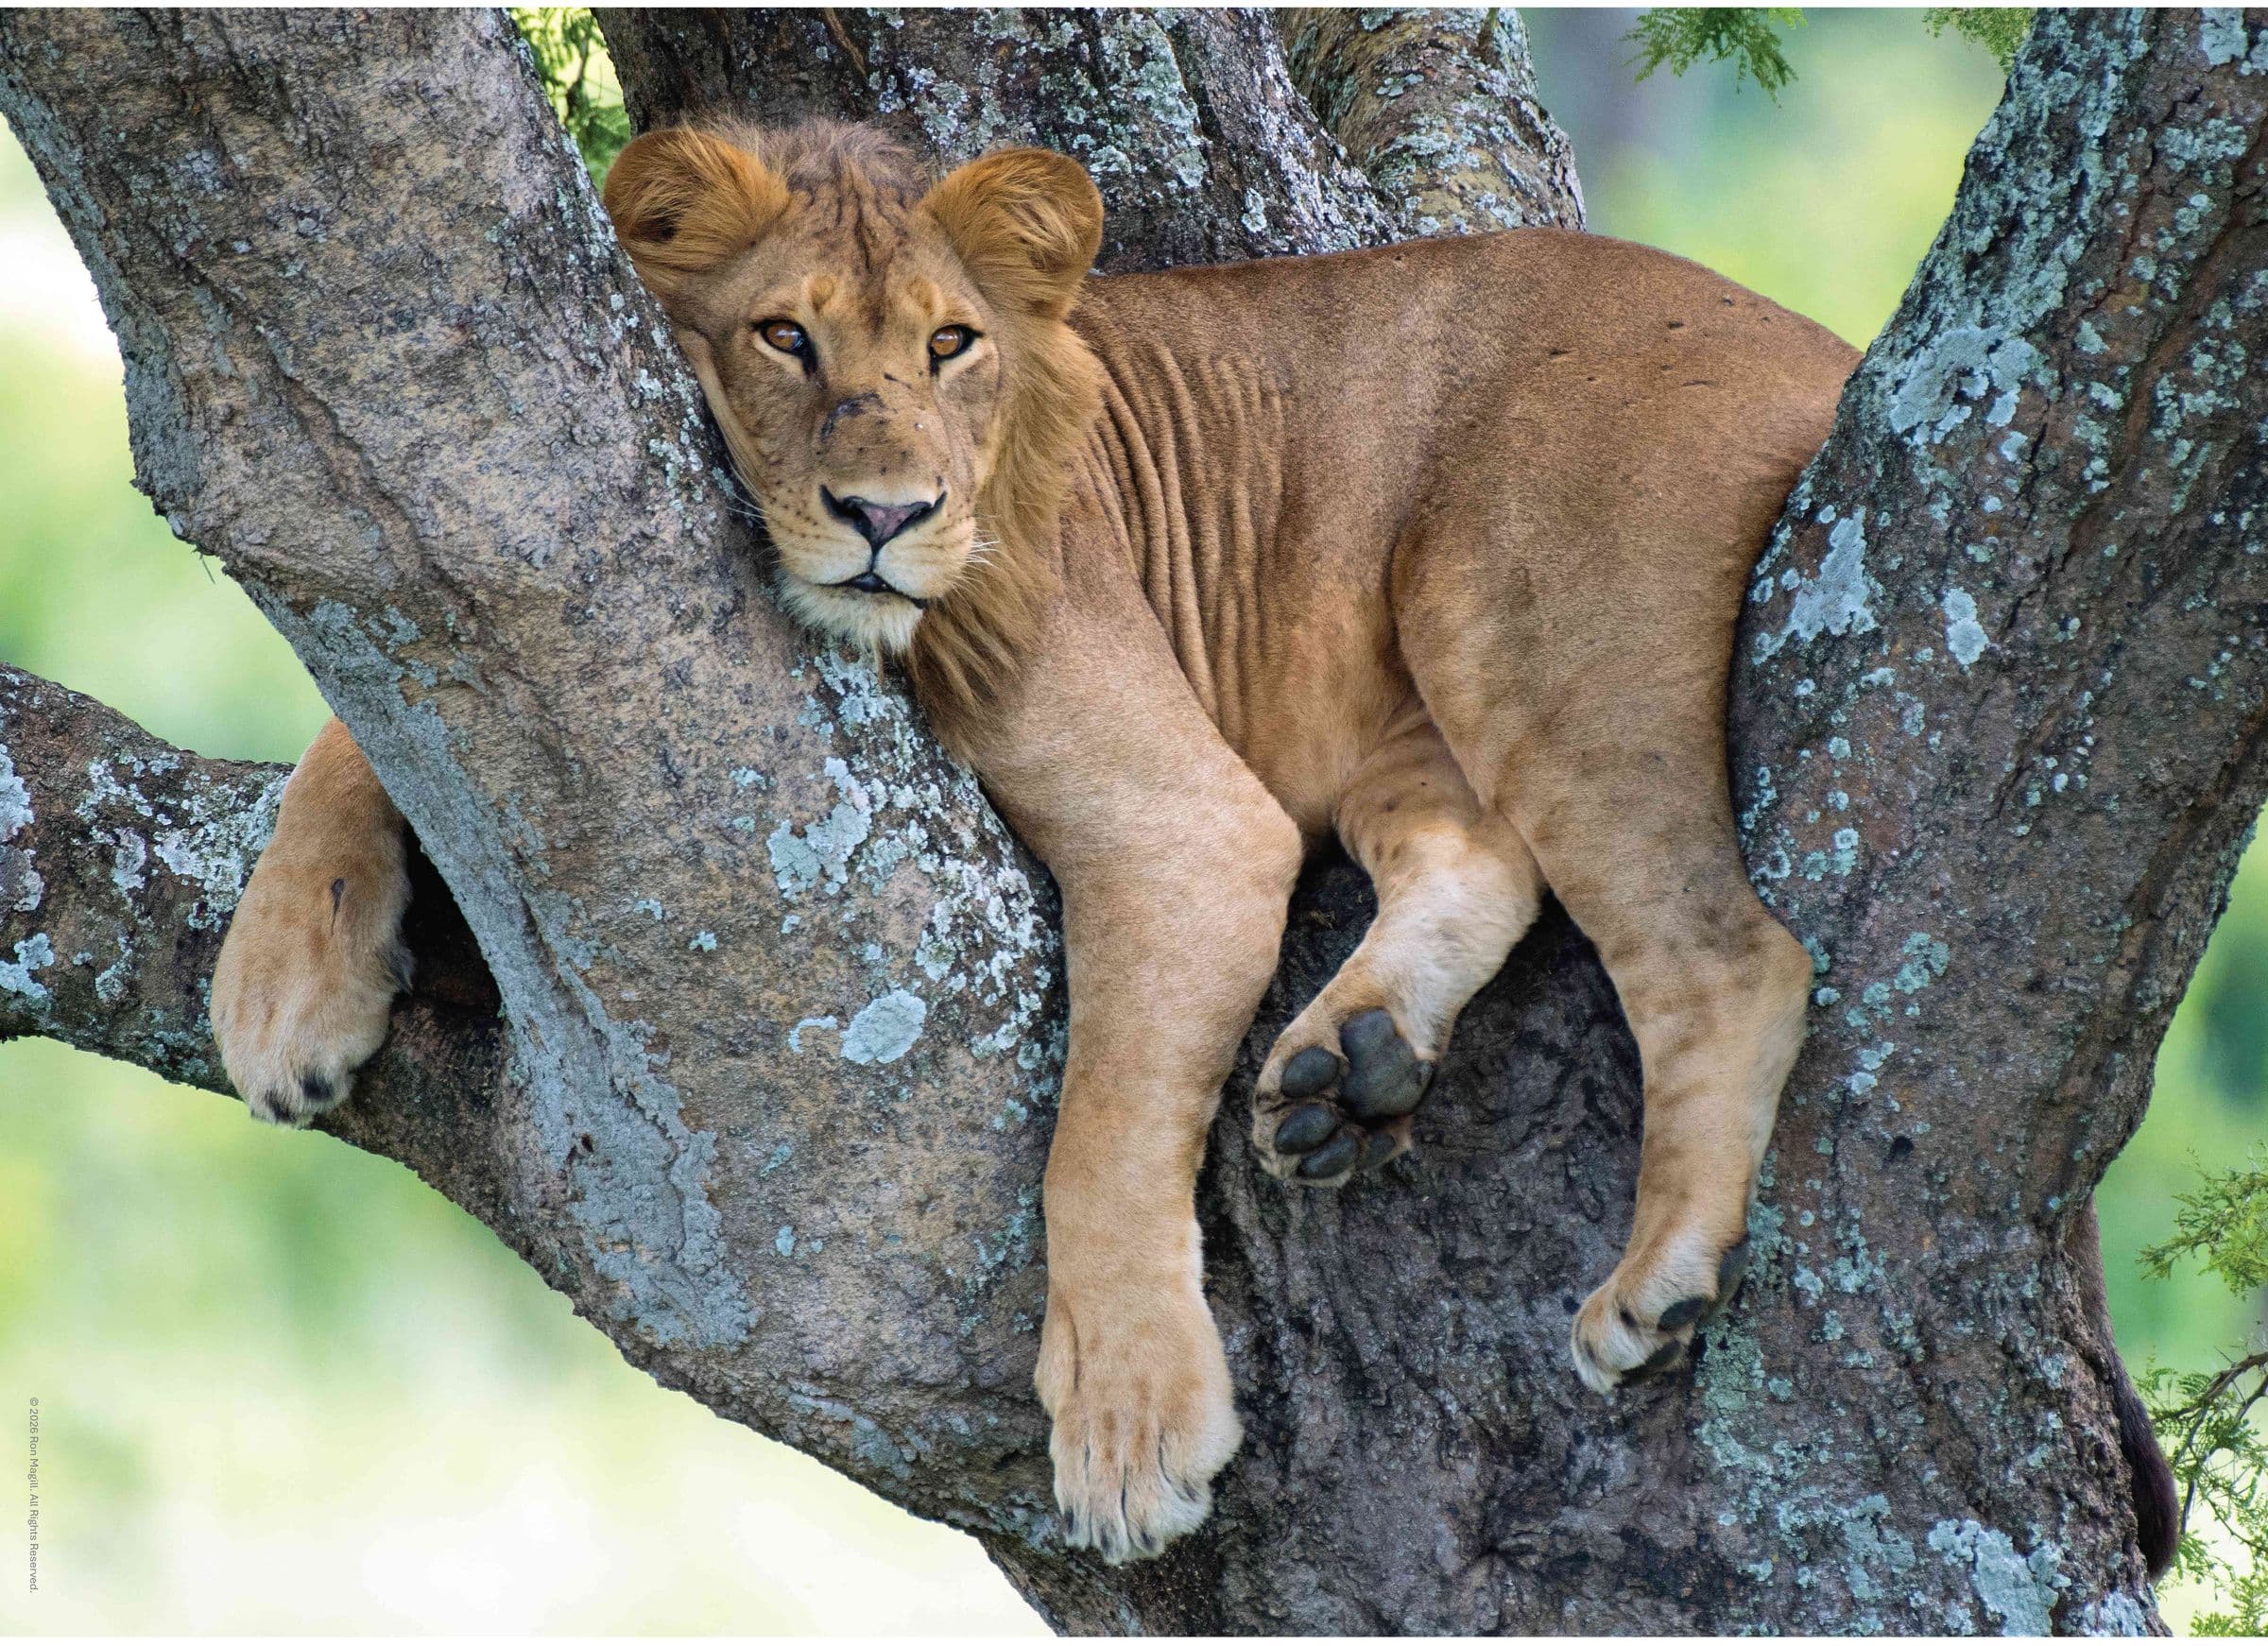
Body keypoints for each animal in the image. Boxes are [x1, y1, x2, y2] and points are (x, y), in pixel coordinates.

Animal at [215, 119, 1858, 1561]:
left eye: (951, 344)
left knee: (1724, 948)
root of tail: (1819, 341)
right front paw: (281, 982)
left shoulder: (1189, 824)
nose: (885, 515)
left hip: (1506, 606)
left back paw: (1655, 1278)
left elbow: (1103, 1130)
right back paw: (1349, 1071)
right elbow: (371, 699)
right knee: (1484, 852)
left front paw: (1131, 1428)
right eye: (782, 338)